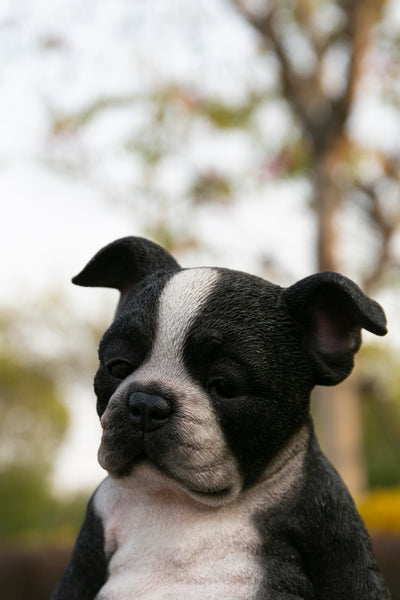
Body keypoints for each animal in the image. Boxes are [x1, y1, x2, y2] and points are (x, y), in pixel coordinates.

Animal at [50, 238, 390, 600]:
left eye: (226, 387)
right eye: (116, 367)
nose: (146, 403)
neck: (178, 502)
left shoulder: (332, 528)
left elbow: (353, 579)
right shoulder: (90, 542)